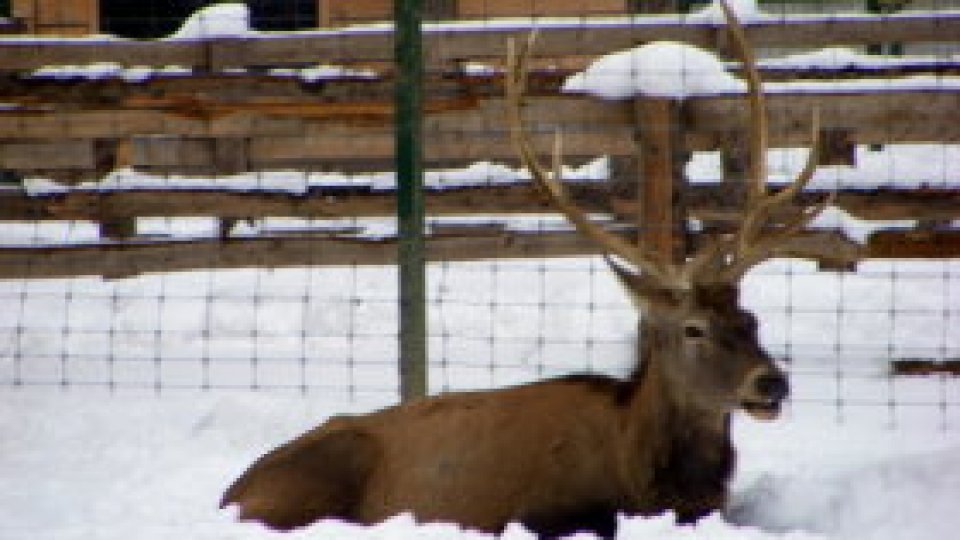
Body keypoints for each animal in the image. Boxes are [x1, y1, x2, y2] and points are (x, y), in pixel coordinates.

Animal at [218, 2, 824, 536]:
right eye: (693, 328)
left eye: (751, 320)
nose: (771, 382)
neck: (640, 471)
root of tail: (232, 494)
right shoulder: (535, 510)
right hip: (312, 481)